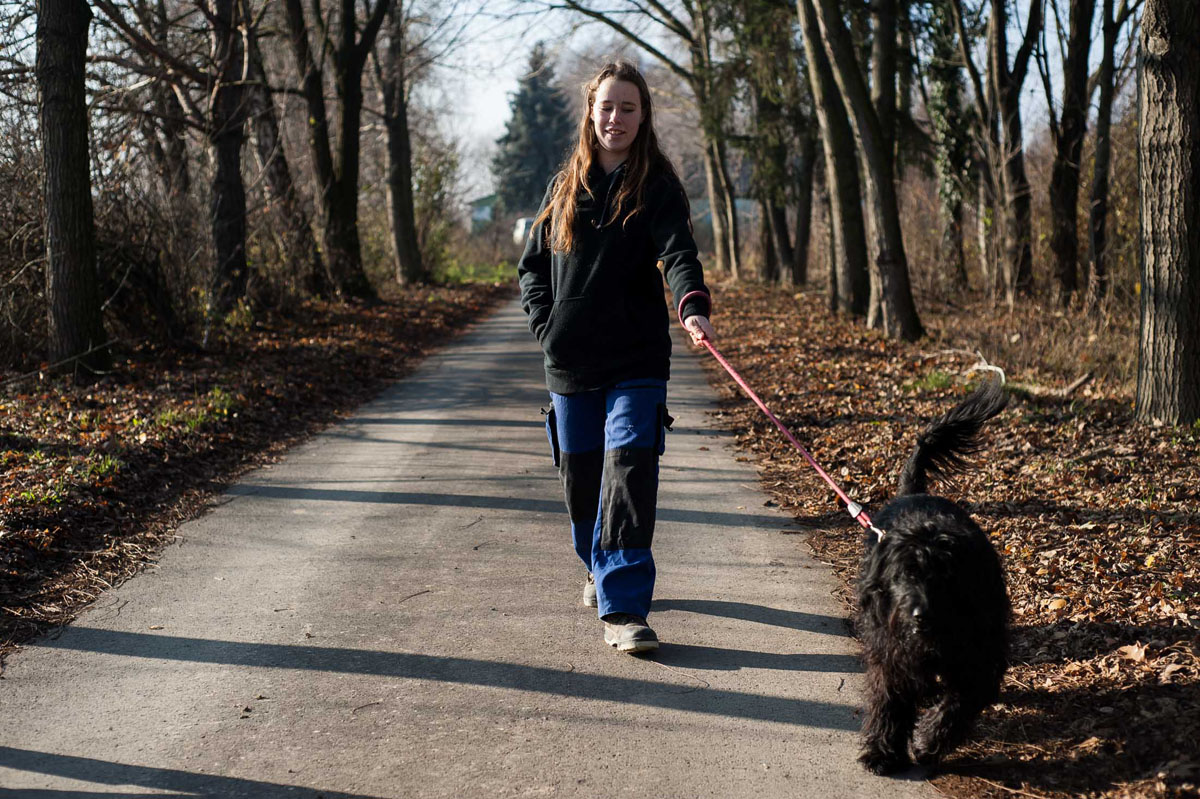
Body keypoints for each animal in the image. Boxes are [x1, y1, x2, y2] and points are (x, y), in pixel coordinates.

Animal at [854, 376, 1012, 772]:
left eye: (944, 576)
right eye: (902, 575)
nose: (919, 614)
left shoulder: (979, 651)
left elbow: (963, 700)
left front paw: (929, 742)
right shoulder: (891, 648)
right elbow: (890, 695)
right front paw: (883, 750)